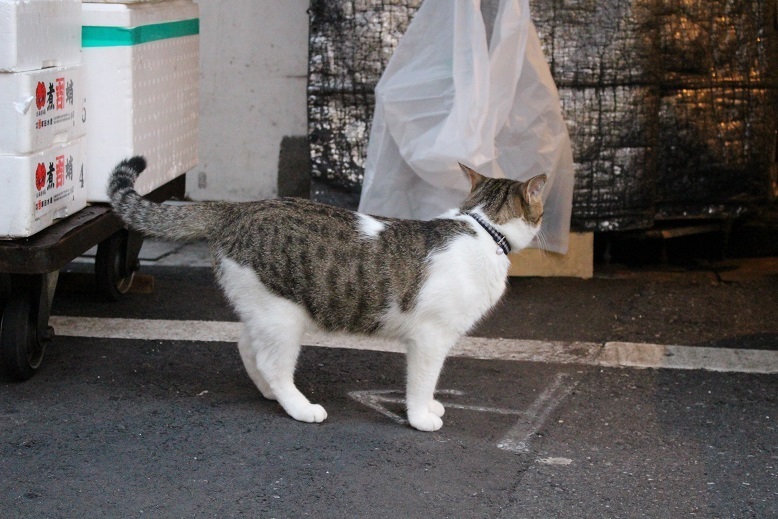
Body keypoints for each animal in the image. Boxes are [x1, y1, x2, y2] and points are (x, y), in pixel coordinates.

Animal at [107, 156, 544, 432]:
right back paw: (300, 407)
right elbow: (422, 380)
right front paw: (421, 416)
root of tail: (238, 209)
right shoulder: (430, 338)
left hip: (264, 306)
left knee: (247, 347)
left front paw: (430, 405)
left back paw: (270, 394)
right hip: (283, 318)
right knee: (272, 363)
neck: (483, 228)